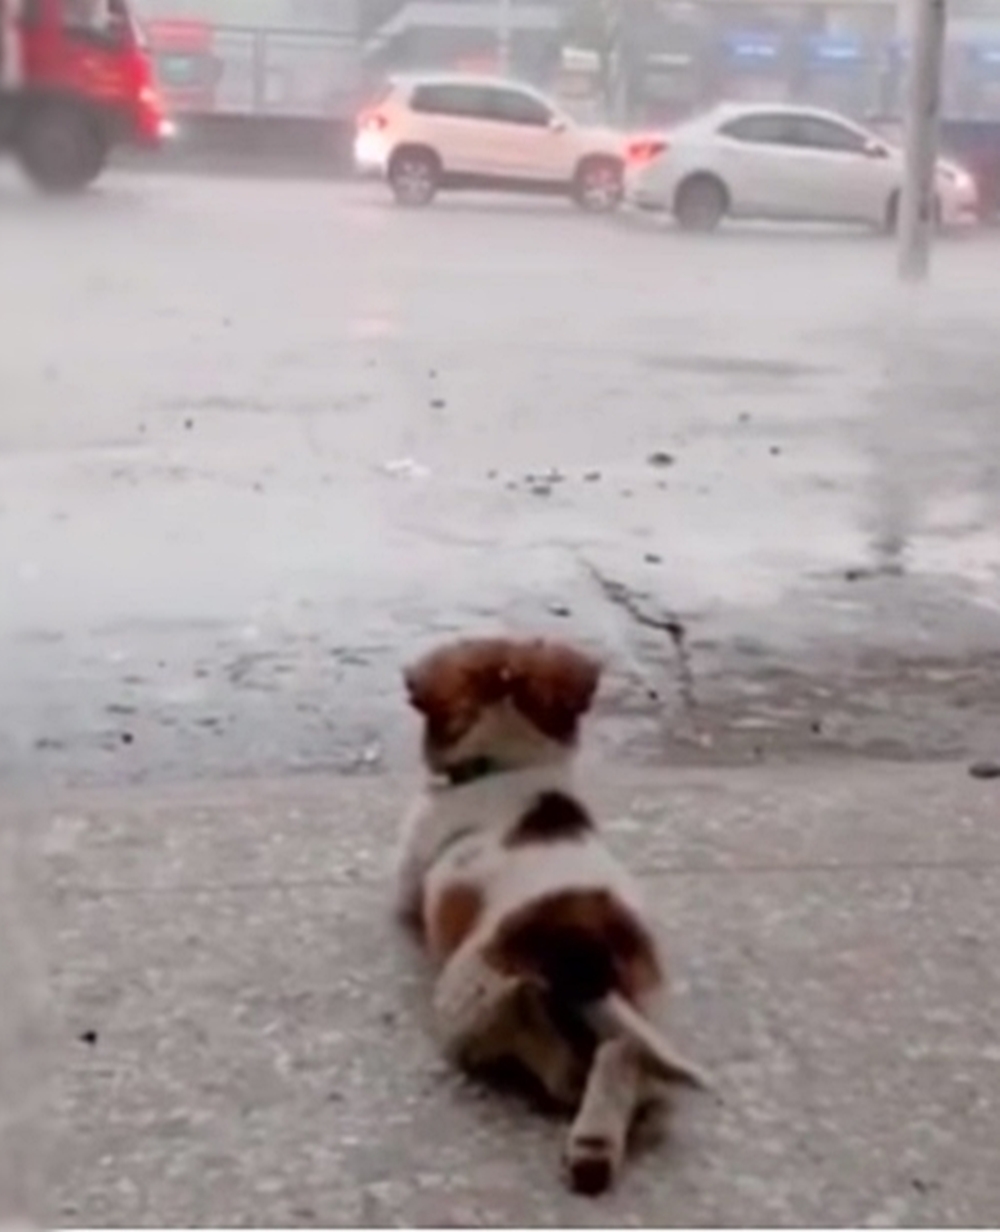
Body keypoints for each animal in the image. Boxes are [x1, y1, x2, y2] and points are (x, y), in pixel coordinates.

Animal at [393, 635, 707, 1195]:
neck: (510, 766)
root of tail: (582, 947)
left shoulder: (408, 878)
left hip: (466, 1000)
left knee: (549, 1057)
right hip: (648, 1007)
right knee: (624, 1058)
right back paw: (594, 1148)